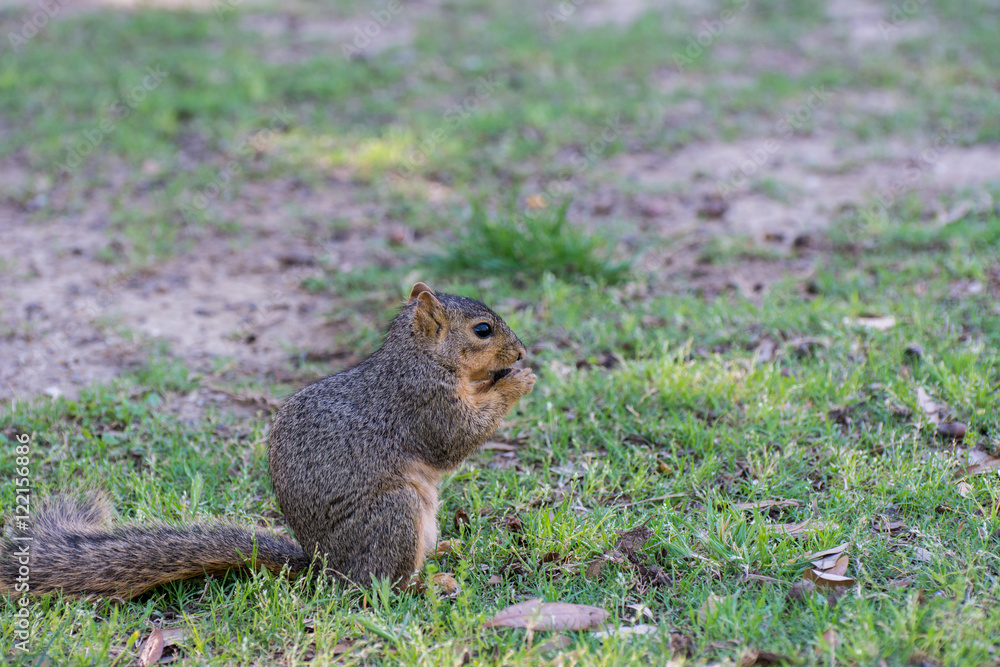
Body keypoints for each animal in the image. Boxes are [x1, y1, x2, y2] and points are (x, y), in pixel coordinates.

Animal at [1, 283, 535, 599]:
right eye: (482, 330)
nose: (522, 352)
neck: (421, 357)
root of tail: (324, 568)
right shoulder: (422, 402)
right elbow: (453, 439)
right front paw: (515, 383)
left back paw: (443, 554)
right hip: (394, 514)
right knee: (378, 587)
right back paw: (426, 585)